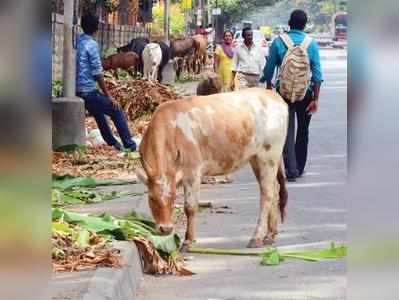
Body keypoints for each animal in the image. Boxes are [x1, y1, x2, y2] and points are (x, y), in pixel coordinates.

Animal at [136, 87, 290, 248]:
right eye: (151, 198)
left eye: (173, 197)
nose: (165, 229)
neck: (171, 132)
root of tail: (273, 95)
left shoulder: (193, 172)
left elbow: (190, 206)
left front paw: (188, 241)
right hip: (257, 159)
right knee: (274, 189)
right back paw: (270, 234)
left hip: (269, 155)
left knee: (267, 194)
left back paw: (257, 237)